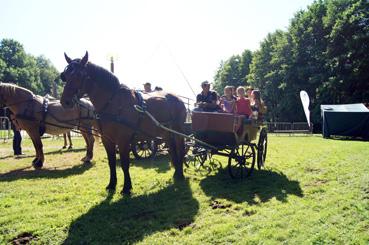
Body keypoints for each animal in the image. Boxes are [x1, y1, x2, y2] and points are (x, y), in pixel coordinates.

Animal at [61, 52, 187, 195]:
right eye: (65, 75)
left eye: (79, 75)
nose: (65, 101)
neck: (113, 103)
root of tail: (178, 98)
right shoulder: (107, 139)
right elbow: (111, 163)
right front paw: (111, 185)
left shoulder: (123, 140)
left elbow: (124, 164)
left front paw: (126, 187)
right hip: (166, 133)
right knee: (172, 149)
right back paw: (177, 173)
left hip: (178, 131)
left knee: (181, 149)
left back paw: (180, 175)